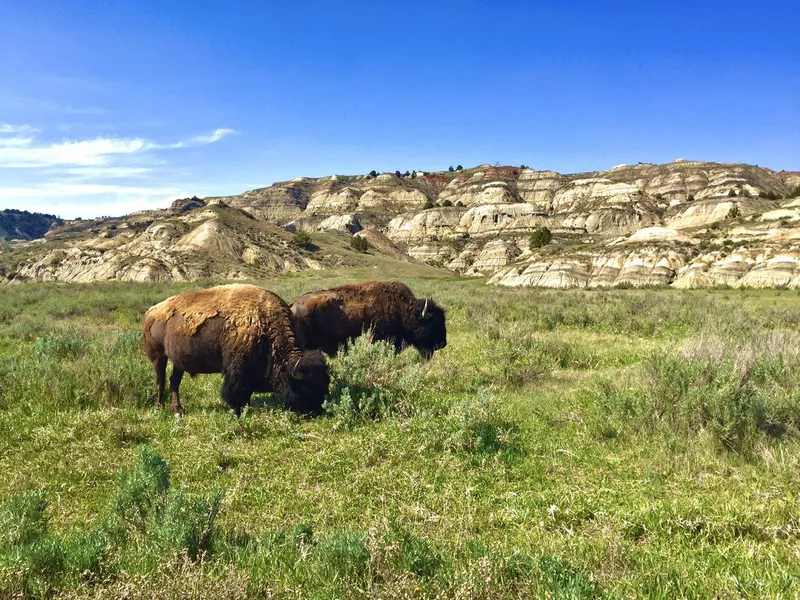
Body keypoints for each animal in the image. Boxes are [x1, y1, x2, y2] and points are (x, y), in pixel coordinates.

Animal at [142, 282, 330, 414]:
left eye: (324, 383)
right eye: (305, 386)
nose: (316, 410)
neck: (265, 322)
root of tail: (151, 311)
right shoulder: (236, 368)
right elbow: (234, 390)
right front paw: (237, 409)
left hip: (178, 362)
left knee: (174, 382)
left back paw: (178, 410)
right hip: (159, 357)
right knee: (160, 380)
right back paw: (160, 407)